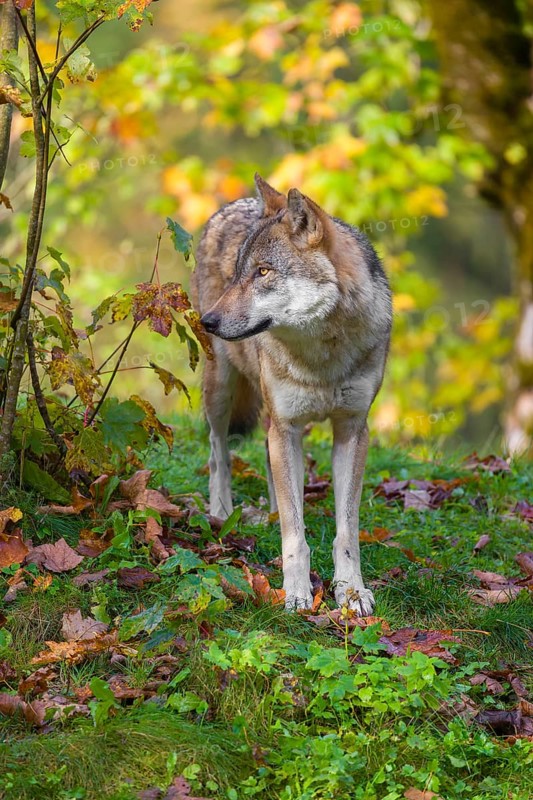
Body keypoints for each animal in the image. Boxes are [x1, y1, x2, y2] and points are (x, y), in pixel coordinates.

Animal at [191, 175, 392, 614]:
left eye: (263, 271)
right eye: (239, 273)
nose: (207, 321)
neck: (322, 356)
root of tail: (232, 205)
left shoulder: (352, 430)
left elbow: (346, 531)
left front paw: (351, 592)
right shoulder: (287, 427)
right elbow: (294, 535)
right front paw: (298, 595)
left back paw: (268, 509)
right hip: (221, 391)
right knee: (217, 452)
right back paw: (221, 513)